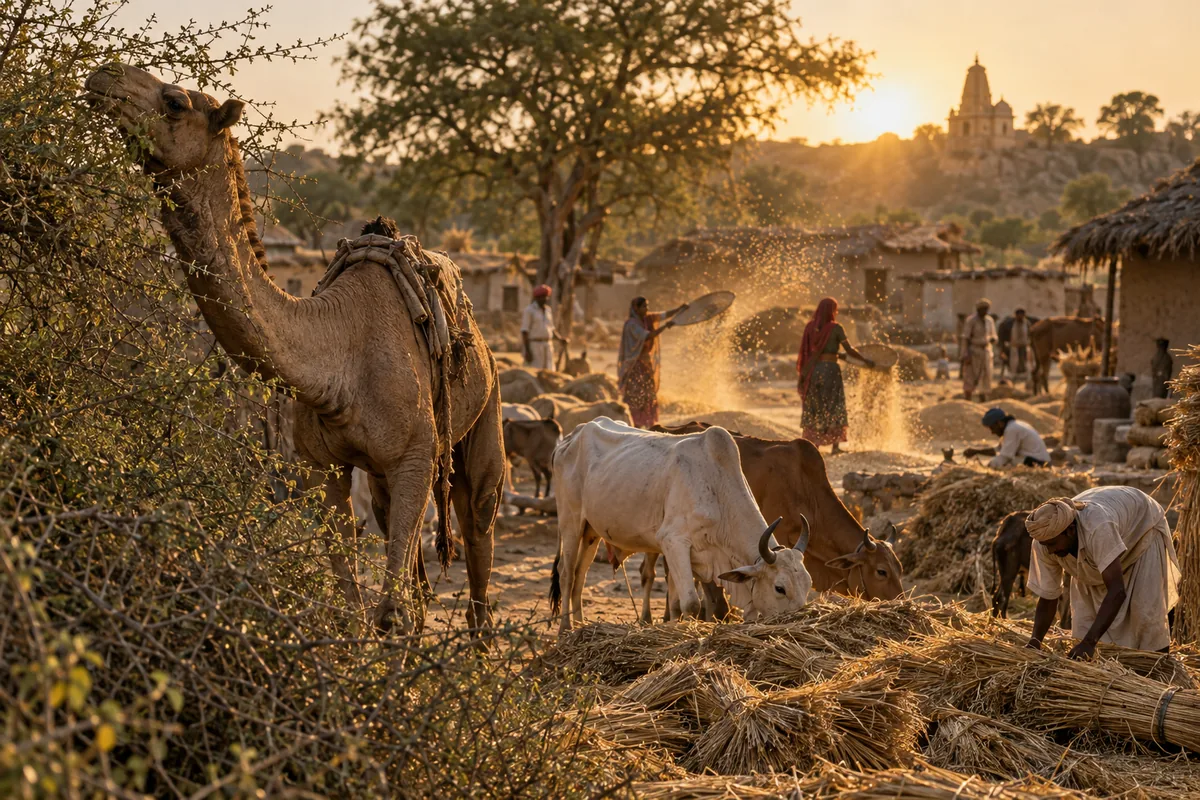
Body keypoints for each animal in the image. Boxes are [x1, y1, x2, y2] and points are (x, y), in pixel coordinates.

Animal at [84, 64, 505, 636]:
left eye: (174, 102)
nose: (103, 75)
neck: (339, 357)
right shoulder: (322, 468)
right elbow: (353, 602)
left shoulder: (415, 457)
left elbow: (388, 612)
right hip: (384, 474)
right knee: (411, 559)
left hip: (486, 406)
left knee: (478, 519)